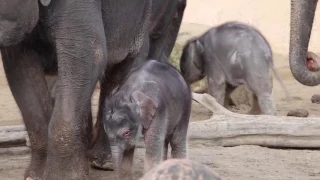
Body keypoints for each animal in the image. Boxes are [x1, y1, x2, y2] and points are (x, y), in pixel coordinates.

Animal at [0, 0, 156, 180]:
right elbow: (21, 67)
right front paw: (35, 176)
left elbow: (86, 55)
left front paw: (63, 176)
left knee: (120, 69)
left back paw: (106, 162)